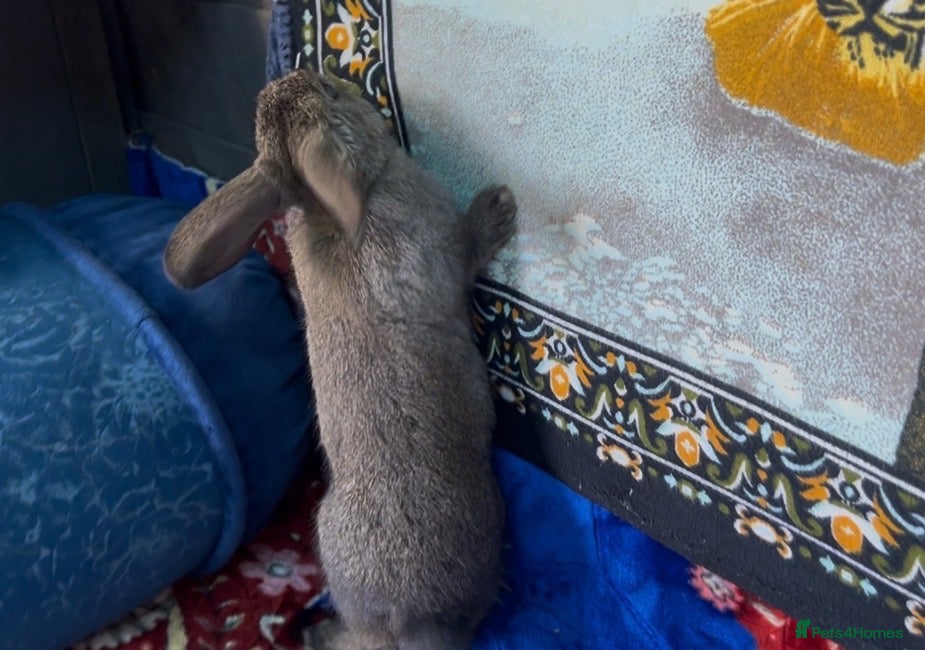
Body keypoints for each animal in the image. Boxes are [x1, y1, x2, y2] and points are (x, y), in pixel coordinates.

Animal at [162, 68, 517, 649]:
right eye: (329, 97)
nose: (330, 77)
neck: (333, 209)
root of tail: (405, 624)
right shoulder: (445, 257)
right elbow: (467, 254)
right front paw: (497, 209)